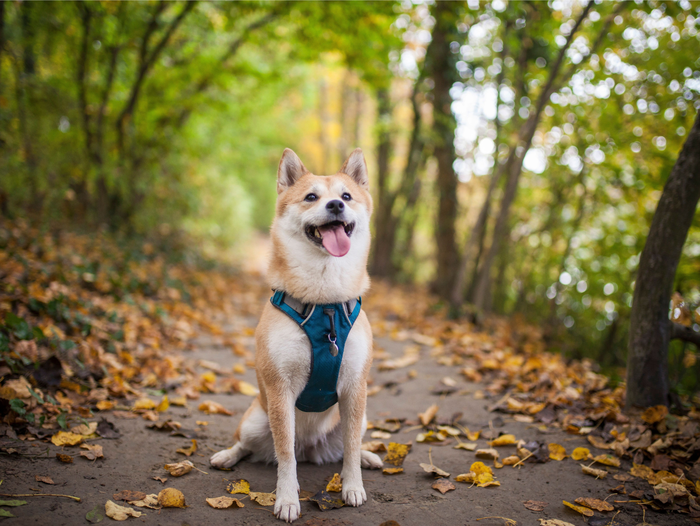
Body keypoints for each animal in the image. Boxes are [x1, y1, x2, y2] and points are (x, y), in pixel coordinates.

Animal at [211, 148, 380, 524]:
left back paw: (367, 457)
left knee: (349, 444)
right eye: (311, 197)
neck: (324, 304)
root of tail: (310, 449)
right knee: (250, 445)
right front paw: (287, 499)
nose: (335, 205)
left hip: (359, 417)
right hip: (256, 421)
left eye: (347, 196)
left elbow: (350, 448)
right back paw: (227, 456)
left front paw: (353, 486)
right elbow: (284, 453)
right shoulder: (280, 390)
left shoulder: (355, 387)